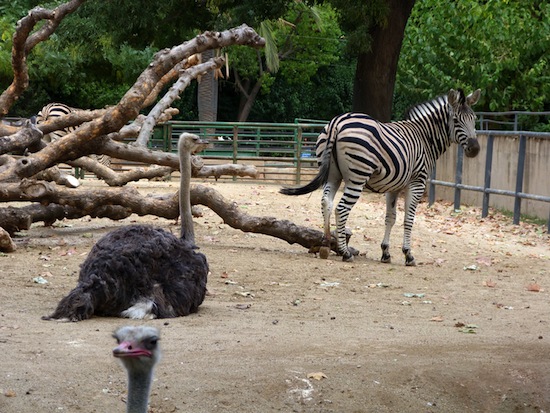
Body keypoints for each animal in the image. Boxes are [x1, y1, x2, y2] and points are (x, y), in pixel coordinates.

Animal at [282, 88, 480, 266]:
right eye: (456, 120)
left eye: (474, 119)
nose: (475, 149)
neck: (425, 138)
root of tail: (337, 122)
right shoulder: (417, 182)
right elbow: (408, 219)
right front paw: (408, 255)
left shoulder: (394, 187)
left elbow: (390, 218)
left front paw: (385, 253)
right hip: (357, 177)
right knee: (341, 208)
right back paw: (345, 253)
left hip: (333, 175)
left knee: (326, 203)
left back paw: (325, 244)